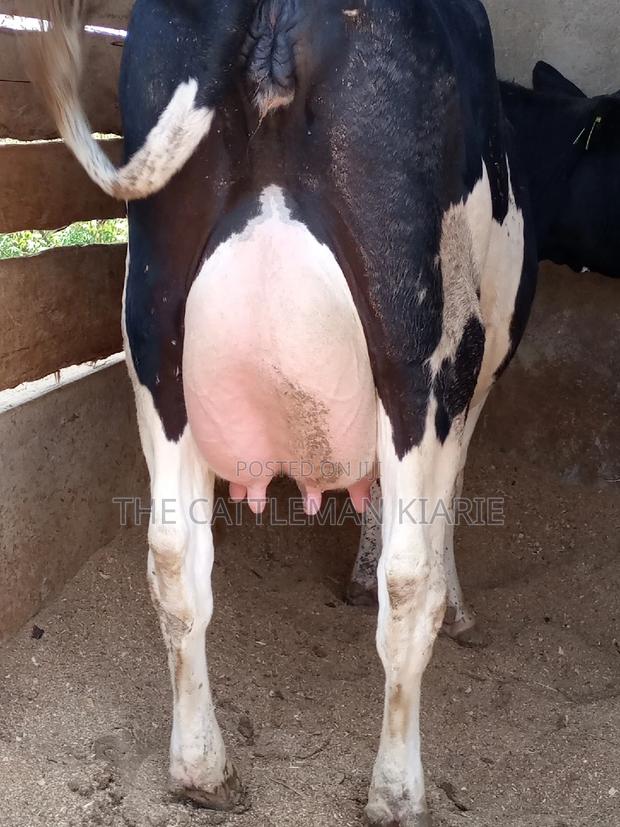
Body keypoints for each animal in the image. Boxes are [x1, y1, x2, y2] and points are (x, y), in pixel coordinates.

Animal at [31, 1, 538, 823]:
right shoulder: (474, 376)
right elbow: (442, 518)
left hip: (153, 333)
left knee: (174, 559)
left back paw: (203, 771)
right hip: (419, 348)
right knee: (409, 580)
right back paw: (397, 789)